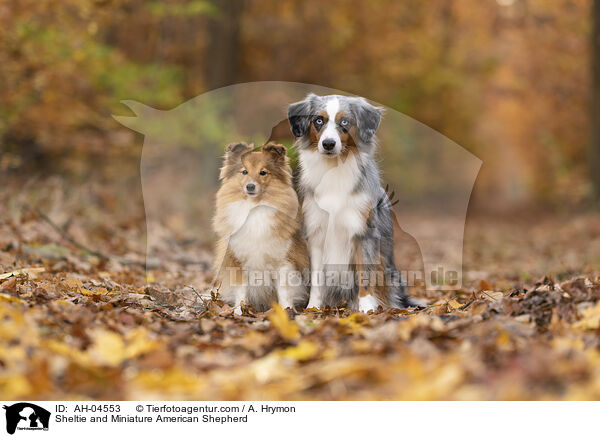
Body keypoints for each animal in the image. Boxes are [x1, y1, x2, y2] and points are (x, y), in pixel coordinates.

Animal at [212, 141, 308, 312]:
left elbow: (284, 291)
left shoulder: (284, 262)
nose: (250, 186)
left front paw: (286, 311)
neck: (254, 208)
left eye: (263, 172)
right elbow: (241, 291)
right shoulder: (237, 262)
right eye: (244, 171)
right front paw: (238, 312)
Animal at [288, 93, 420, 310]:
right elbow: (317, 279)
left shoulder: (363, 232)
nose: (328, 144)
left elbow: (365, 275)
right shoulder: (316, 234)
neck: (334, 170)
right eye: (318, 120)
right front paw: (313, 308)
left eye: (344, 122)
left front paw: (366, 310)